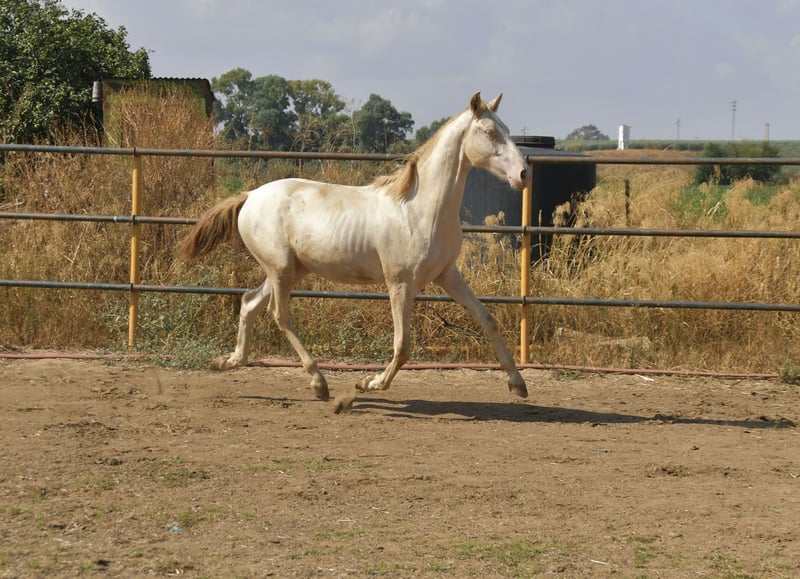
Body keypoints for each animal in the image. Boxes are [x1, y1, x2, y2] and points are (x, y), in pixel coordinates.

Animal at [179, 92, 529, 412]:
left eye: (506, 129)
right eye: (490, 133)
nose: (524, 174)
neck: (419, 209)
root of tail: (251, 196)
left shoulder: (446, 274)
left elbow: (486, 318)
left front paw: (518, 384)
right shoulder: (400, 283)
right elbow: (403, 345)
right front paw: (368, 383)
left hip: (290, 269)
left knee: (250, 302)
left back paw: (227, 361)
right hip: (280, 269)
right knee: (279, 314)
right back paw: (319, 383)